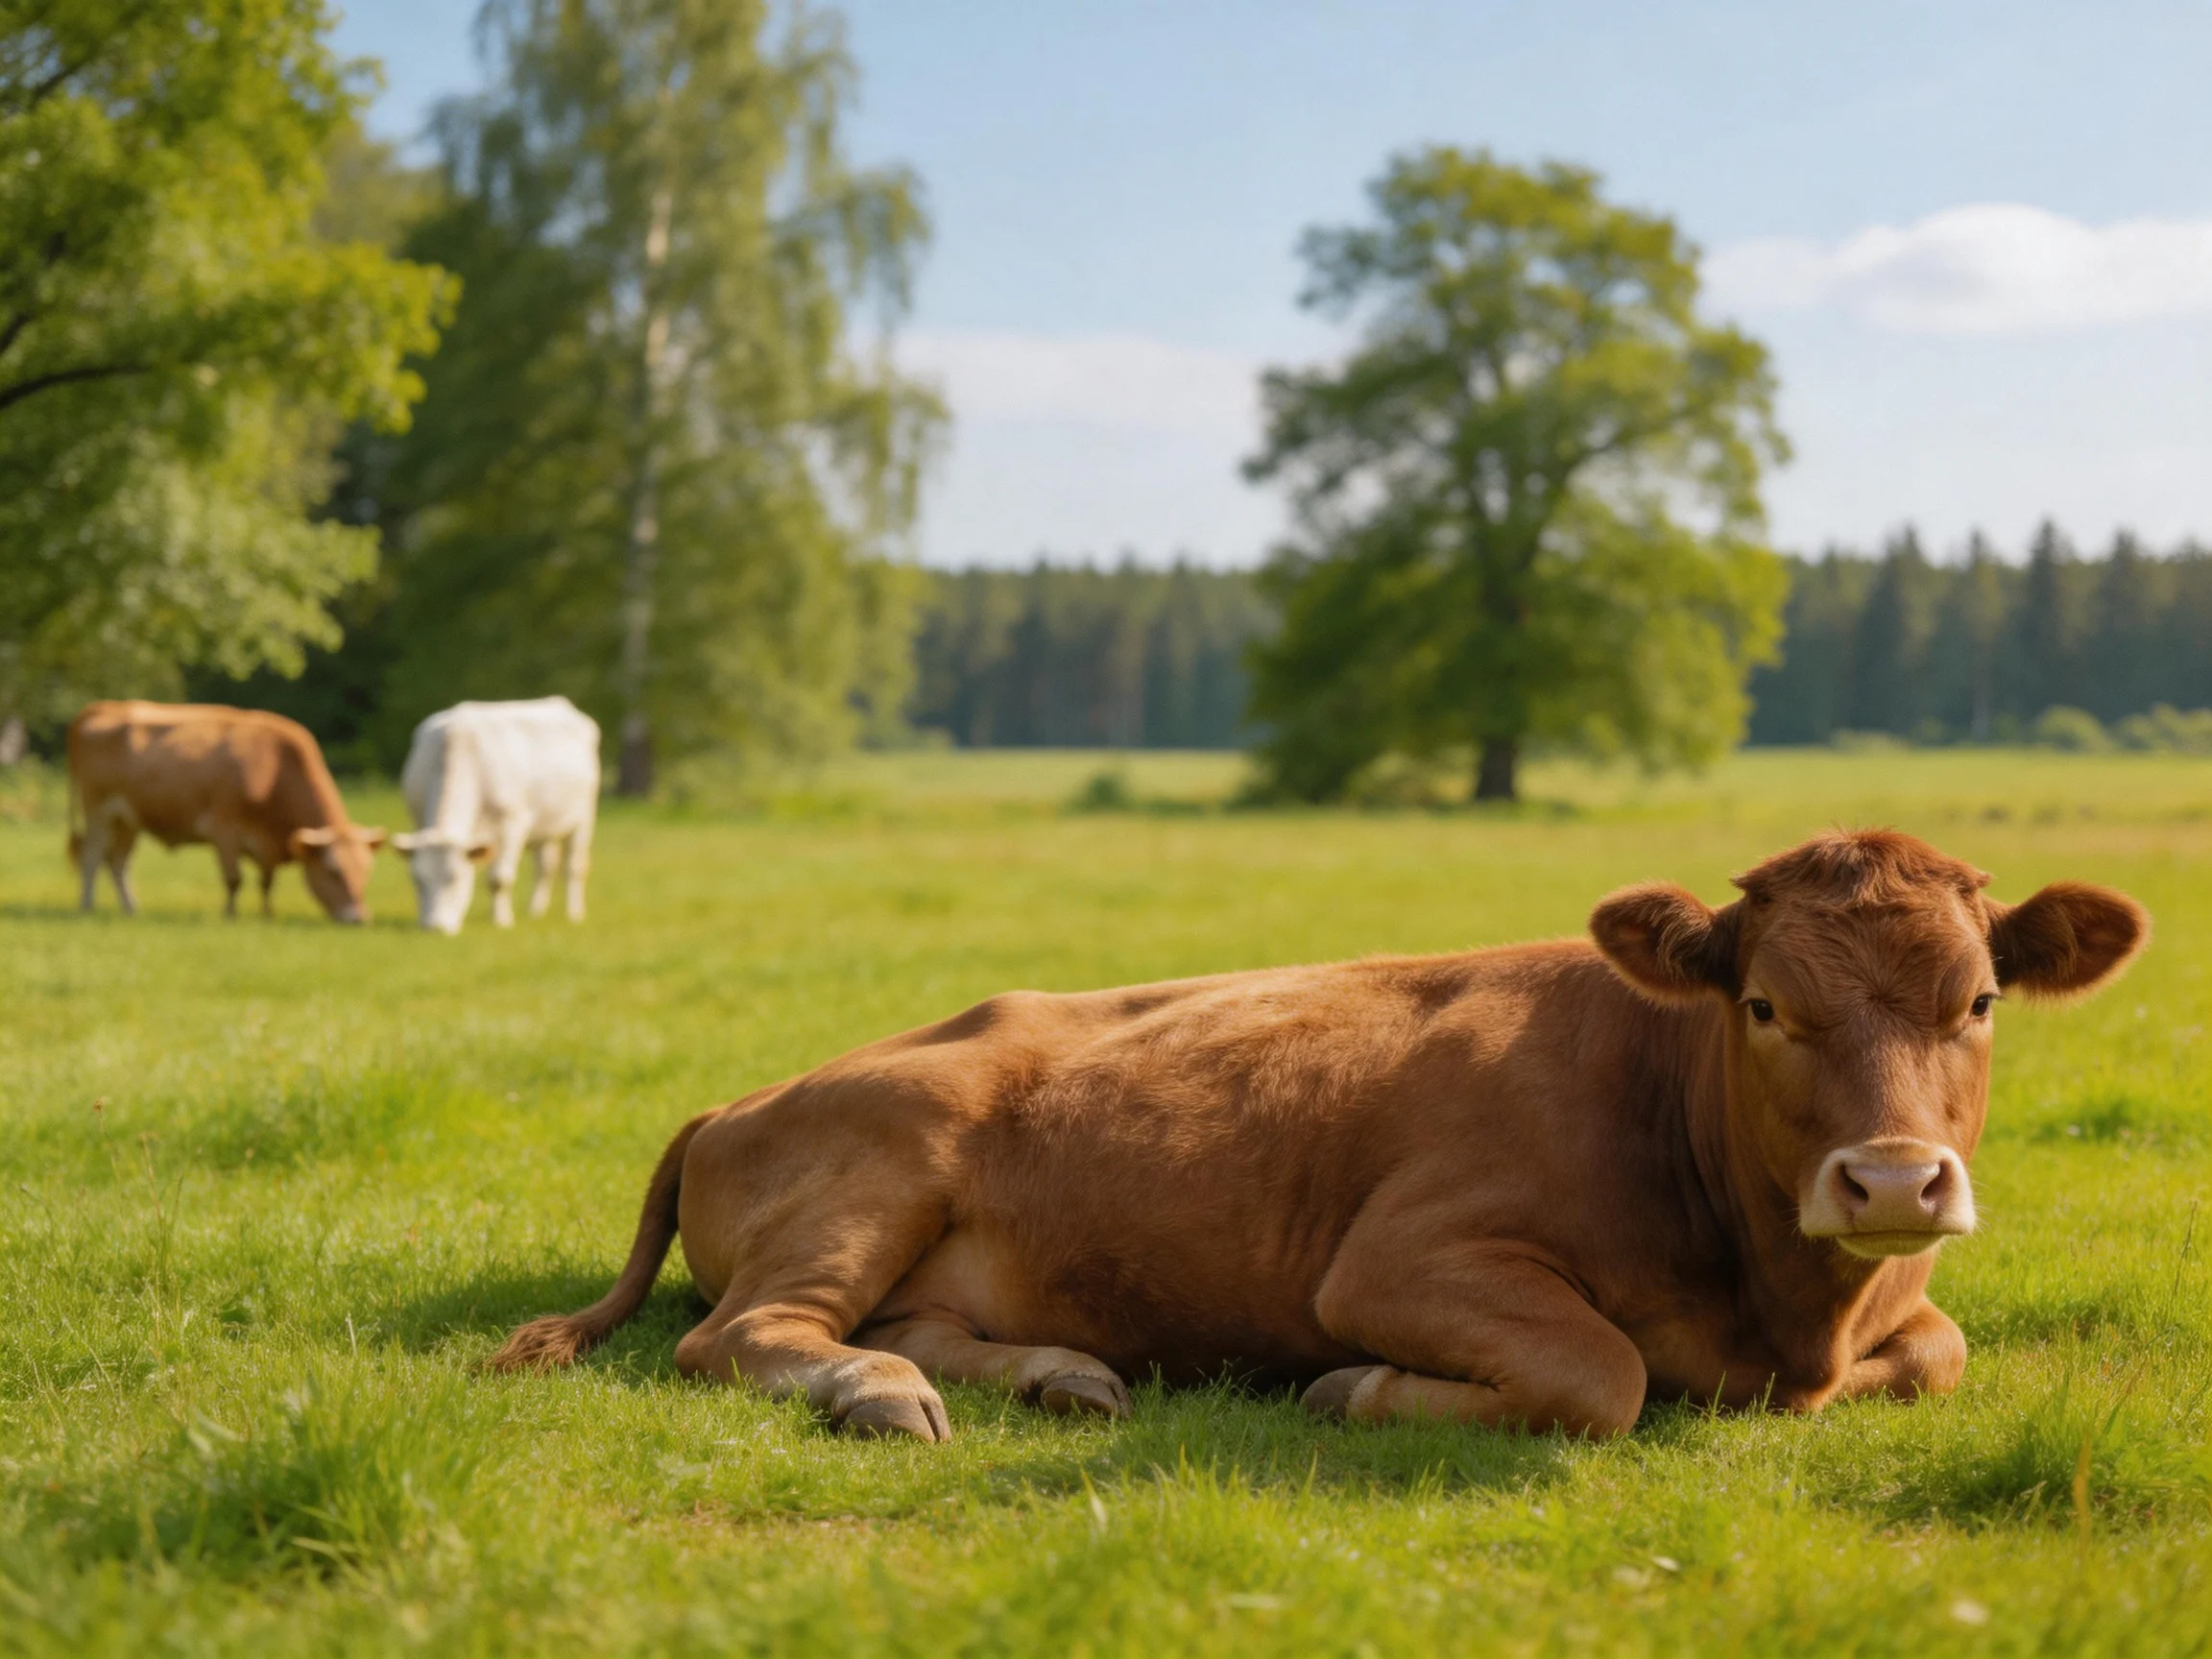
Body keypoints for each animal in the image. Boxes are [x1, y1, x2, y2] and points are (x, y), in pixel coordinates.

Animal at [66, 701, 387, 923]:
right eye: (333, 871)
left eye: (366, 870)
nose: (358, 918)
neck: (273, 770)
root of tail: (104, 706)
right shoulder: (225, 829)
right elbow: (234, 879)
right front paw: (230, 915)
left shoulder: (265, 844)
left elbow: (266, 882)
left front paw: (267, 914)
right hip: (98, 809)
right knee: (92, 855)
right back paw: (86, 904)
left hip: (127, 819)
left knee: (118, 863)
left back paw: (131, 908)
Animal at [390, 697, 600, 935]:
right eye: (417, 880)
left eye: (456, 878)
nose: (434, 928)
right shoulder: (418, 820)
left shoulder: (513, 825)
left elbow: (499, 878)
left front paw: (501, 920)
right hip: (546, 826)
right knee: (545, 866)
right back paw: (535, 910)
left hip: (583, 818)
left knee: (573, 867)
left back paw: (574, 913)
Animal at [490, 830, 2146, 1442]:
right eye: (1760, 1006)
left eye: (1982, 998)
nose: (1892, 1180)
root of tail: (741, 1095)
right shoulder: (1400, 1258)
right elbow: (1600, 1376)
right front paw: (1355, 1388)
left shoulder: (1902, 1314)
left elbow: (1942, 1351)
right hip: (883, 1157)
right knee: (746, 1335)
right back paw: (881, 1397)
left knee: (908, 1325)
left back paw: (1060, 1373)